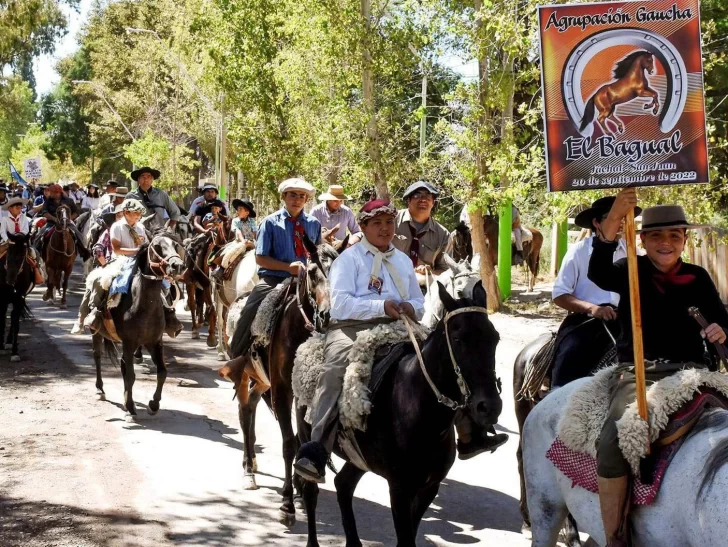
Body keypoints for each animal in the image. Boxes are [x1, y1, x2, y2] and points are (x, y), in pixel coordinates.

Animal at [0, 233, 36, 362]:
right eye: (9, 251)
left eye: (22, 254)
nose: (10, 279)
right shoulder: (3, 299)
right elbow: (2, 320)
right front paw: (1, 347)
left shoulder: (19, 298)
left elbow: (15, 322)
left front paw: (15, 352)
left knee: (13, 316)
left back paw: (9, 342)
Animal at [92, 232, 185, 420]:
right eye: (157, 247)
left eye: (175, 245)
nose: (177, 265)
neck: (144, 305)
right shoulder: (129, 342)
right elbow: (131, 376)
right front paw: (130, 406)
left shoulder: (154, 342)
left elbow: (162, 372)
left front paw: (153, 405)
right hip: (97, 331)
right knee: (98, 356)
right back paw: (100, 389)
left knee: (122, 364)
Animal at [218, 237, 346, 528]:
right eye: (312, 272)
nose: (328, 316)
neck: (298, 330)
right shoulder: (283, 391)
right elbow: (289, 443)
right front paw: (287, 504)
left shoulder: (303, 394)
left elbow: (302, 439)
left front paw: (301, 490)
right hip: (246, 375)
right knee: (244, 412)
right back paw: (248, 470)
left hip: (263, 382)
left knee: (252, 405)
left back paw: (254, 463)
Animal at [296, 282, 500, 547]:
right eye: (457, 339)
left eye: (495, 338)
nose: (490, 407)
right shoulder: (400, 489)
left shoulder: (429, 487)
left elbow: (410, 535)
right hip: (306, 436)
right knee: (310, 489)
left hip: (360, 458)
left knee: (343, 485)